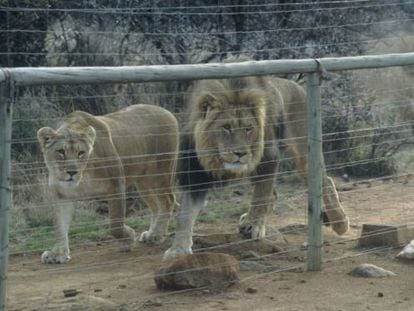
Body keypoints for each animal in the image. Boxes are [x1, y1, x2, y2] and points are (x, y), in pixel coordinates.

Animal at [38, 106, 180, 264]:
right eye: (61, 152)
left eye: (81, 153)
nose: (72, 172)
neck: (84, 174)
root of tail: (166, 111)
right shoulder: (61, 195)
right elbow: (59, 227)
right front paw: (58, 254)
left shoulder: (116, 184)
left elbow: (116, 225)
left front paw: (128, 239)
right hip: (144, 183)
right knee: (157, 206)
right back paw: (152, 234)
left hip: (160, 173)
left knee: (168, 201)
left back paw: (157, 235)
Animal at [164, 73, 350, 260]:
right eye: (226, 127)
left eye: (248, 128)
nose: (240, 153)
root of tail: (297, 86)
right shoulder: (195, 172)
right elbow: (186, 213)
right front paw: (178, 249)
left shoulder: (268, 157)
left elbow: (261, 195)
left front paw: (255, 226)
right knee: (274, 194)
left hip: (304, 152)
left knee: (326, 181)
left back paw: (340, 223)